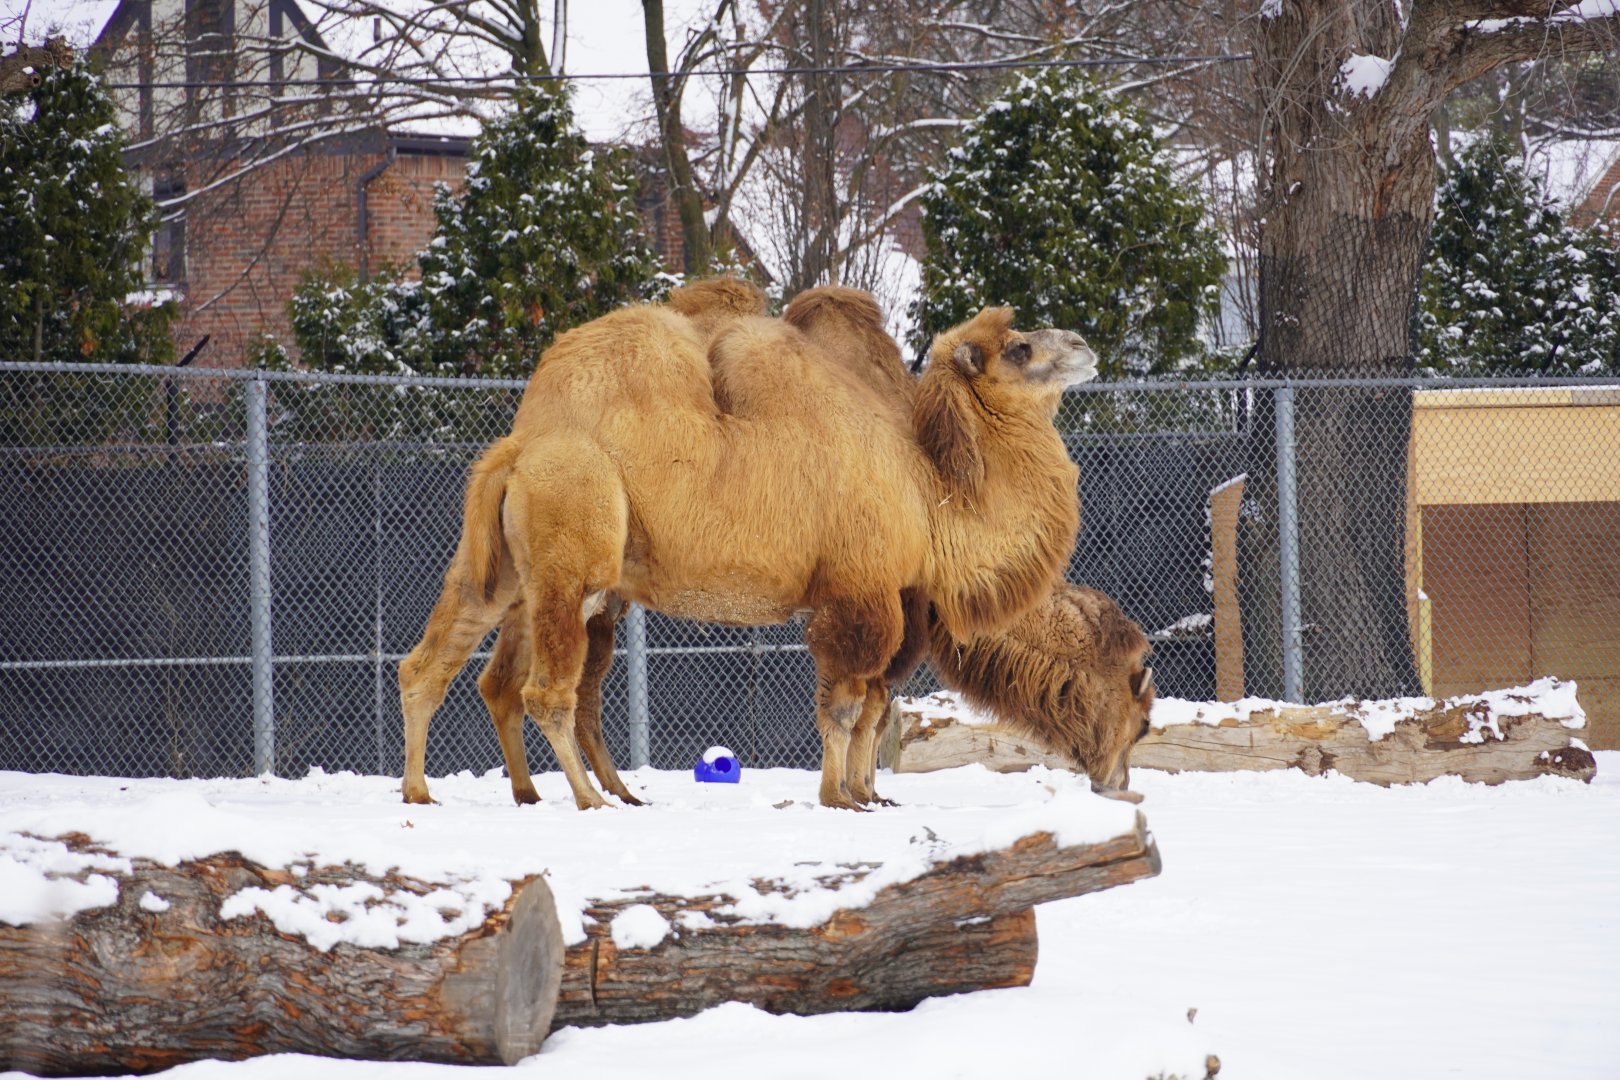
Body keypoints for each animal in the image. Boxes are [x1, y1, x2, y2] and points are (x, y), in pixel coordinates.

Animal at [398, 289, 1094, 810]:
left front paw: (866, 795)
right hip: (574, 554)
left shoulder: (890, 599)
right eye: (1020, 347)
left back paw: (430, 791)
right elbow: (846, 708)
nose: (1085, 346)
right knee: (546, 691)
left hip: (506, 569)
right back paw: (589, 800)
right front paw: (840, 797)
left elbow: (869, 708)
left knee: (435, 661)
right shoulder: (860, 594)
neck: (930, 496)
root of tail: (519, 446)